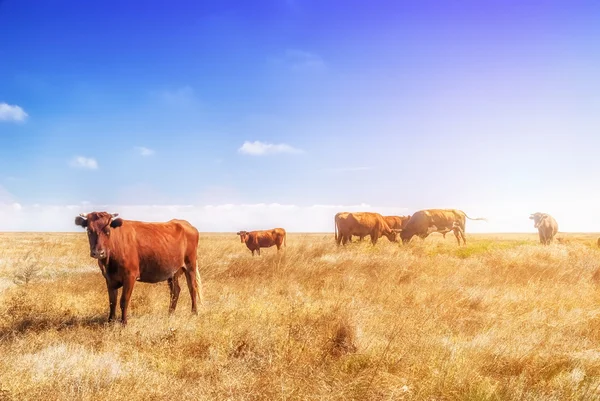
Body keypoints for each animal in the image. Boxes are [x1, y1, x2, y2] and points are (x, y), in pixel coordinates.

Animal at [74, 211, 202, 324]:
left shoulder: (130, 276)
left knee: (192, 288)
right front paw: (110, 321)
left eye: (108, 231)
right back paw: (170, 314)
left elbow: (124, 300)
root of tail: (185, 224)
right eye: (89, 231)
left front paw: (124, 323)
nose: (98, 253)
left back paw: (194, 313)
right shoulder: (109, 278)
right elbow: (112, 301)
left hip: (190, 265)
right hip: (172, 271)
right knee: (175, 291)